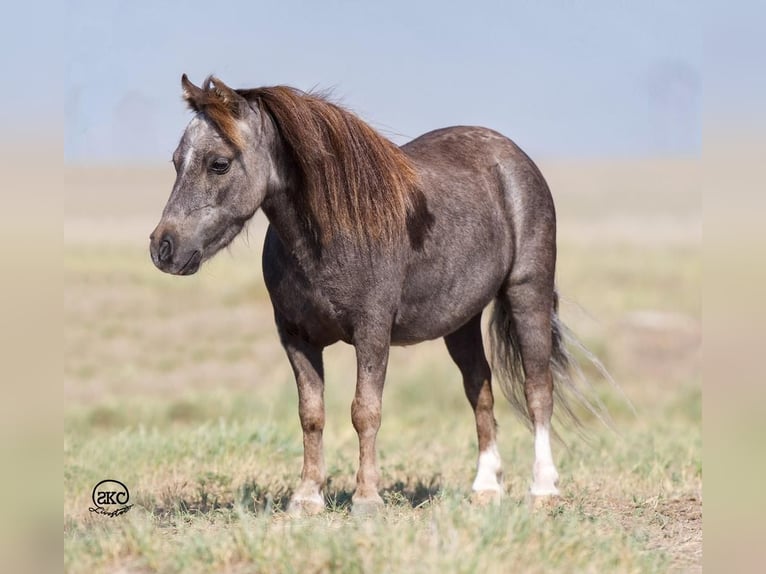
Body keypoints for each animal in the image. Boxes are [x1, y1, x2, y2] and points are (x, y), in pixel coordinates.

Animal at [150, 74, 604, 516]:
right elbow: (311, 414)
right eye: (175, 161)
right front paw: (307, 497)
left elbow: (365, 411)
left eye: (219, 164)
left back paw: (543, 490)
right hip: (461, 321)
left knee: (538, 390)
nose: (162, 247)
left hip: (528, 294)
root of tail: (511, 156)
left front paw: (367, 498)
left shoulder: (371, 333)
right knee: (481, 390)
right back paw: (486, 489)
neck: (329, 234)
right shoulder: (296, 337)